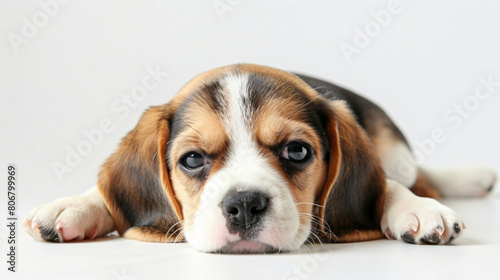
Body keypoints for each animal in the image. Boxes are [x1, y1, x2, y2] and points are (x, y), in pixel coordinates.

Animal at [24, 64, 496, 254]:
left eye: (297, 151)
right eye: (192, 160)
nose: (244, 206)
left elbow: (389, 186)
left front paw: (415, 210)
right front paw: (76, 205)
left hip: (397, 154)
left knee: (417, 176)